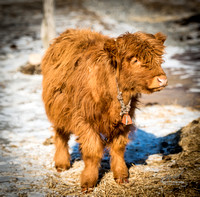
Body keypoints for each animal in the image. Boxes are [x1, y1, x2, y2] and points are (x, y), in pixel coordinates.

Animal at [41, 28, 167, 190]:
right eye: (135, 60)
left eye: (159, 58)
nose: (162, 80)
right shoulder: (85, 120)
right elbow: (92, 151)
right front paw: (88, 182)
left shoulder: (124, 120)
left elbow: (119, 148)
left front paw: (121, 175)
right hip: (58, 107)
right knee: (60, 134)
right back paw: (62, 163)